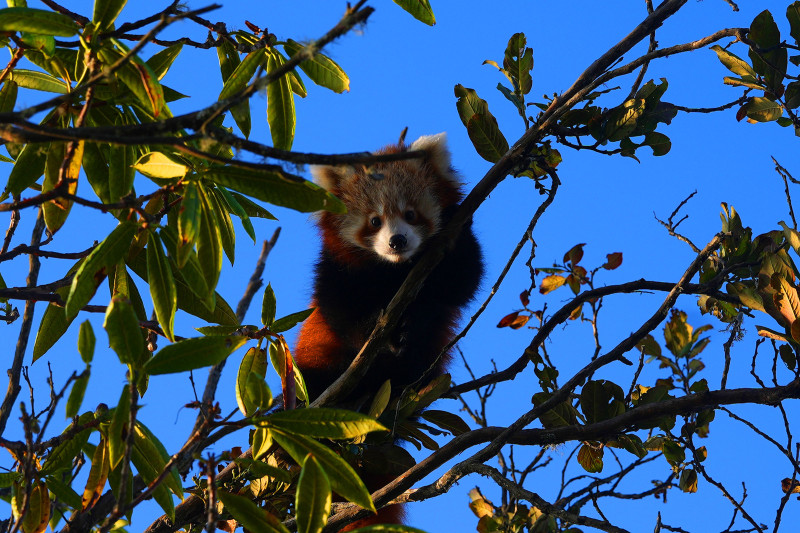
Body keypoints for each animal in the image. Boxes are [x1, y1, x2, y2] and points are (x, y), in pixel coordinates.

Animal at [292, 132, 482, 528]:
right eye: (375, 221)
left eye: (410, 214)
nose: (397, 241)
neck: (395, 270)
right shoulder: (337, 270)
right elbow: (338, 309)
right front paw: (375, 332)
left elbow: (463, 280)